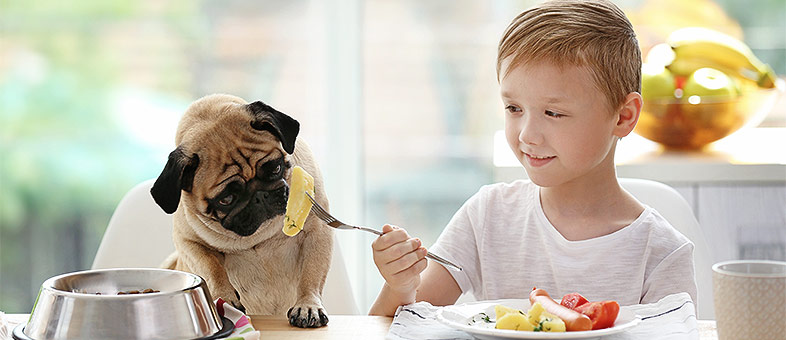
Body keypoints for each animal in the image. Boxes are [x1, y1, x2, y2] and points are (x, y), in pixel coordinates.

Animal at [149, 93, 330, 326]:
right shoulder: (190, 243)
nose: (260, 196)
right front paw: (224, 298)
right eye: (226, 199)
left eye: (276, 168)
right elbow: (212, 268)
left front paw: (308, 306)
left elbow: (311, 274)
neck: (260, 236)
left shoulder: (317, 233)